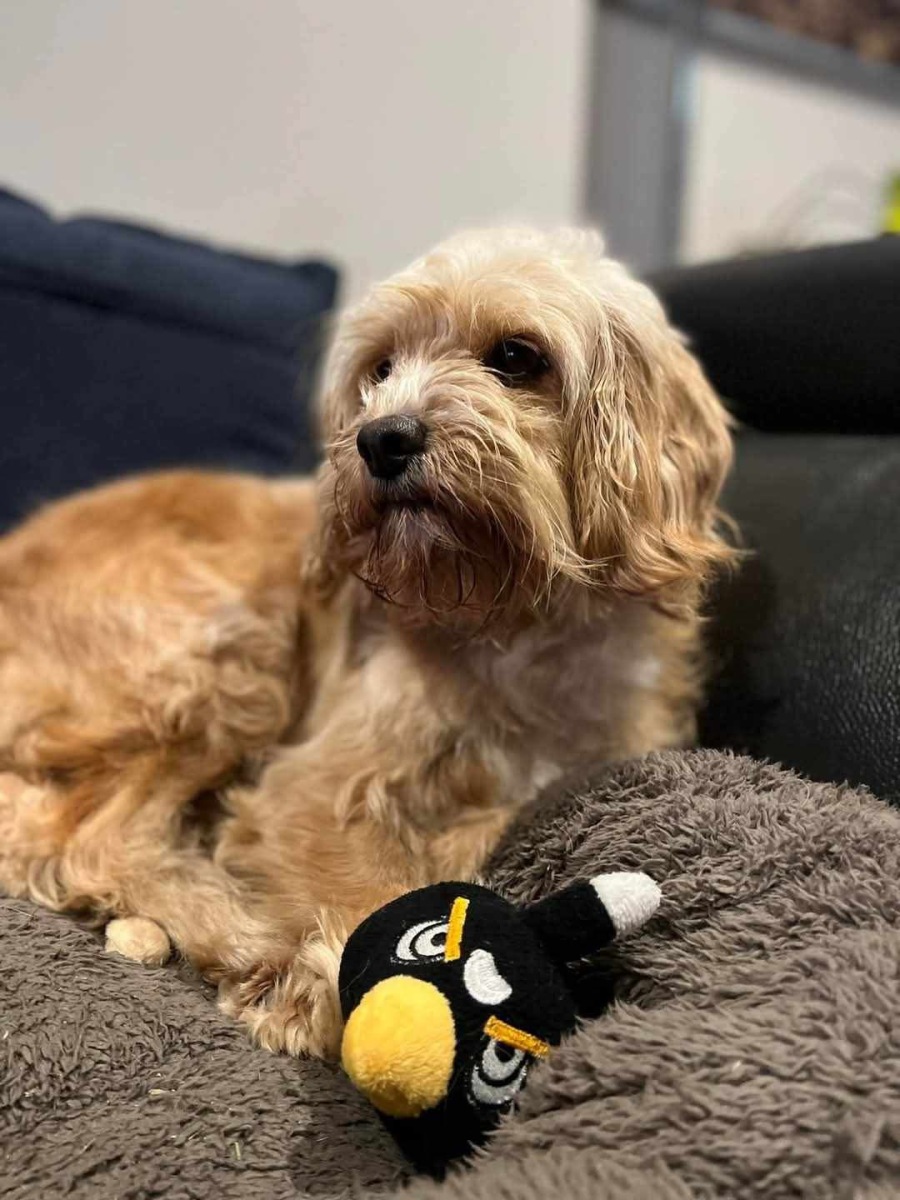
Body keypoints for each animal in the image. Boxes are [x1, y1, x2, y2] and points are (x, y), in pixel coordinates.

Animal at [0, 228, 733, 1059]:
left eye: (517, 357)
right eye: (380, 368)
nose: (381, 438)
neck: (512, 619)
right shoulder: (312, 788)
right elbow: (375, 885)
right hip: (226, 656)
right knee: (98, 841)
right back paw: (252, 948)